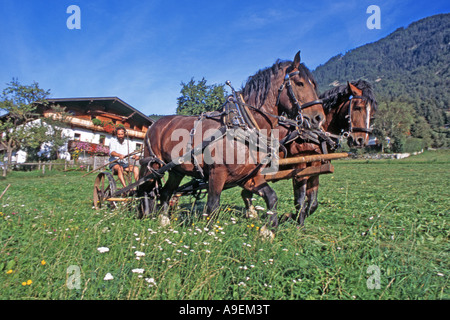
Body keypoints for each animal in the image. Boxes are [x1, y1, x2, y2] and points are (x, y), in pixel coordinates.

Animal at [139, 51, 326, 231]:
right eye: (300, 83)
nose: (319, 118)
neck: (243, 125)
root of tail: (154, 124)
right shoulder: (217, 174)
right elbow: (212, 206)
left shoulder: (248, 177)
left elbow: (271, 197)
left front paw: (269, 230)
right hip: (154, 165)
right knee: (146, 188)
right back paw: (146, 213)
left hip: (176, 170)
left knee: (165, 192)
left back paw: (164, 221)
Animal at [243, 79, 376, 226]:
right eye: (358, 107)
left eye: (372, 113)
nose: (361, 140)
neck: (314, 134)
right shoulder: (300, 167)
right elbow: (300, 200)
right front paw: (299, 224)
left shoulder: (315, 168)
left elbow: (313, 202)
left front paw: (292, 217)